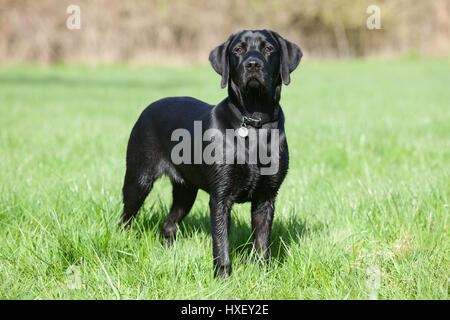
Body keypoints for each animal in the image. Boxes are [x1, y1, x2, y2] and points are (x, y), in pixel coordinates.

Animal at [121, 29, 300, 278]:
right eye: (238, 49)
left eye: (268, 48)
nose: (252, 64)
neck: (254, 122)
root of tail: (148, 108)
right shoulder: (220, 196)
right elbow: (221, 241)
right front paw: (222, 276)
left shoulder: (266, 197)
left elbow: (262, 242)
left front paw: (262, 273)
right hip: (138, 180)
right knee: (125, 219)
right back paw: (122, 244)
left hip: (186, 191)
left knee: (168, 225)